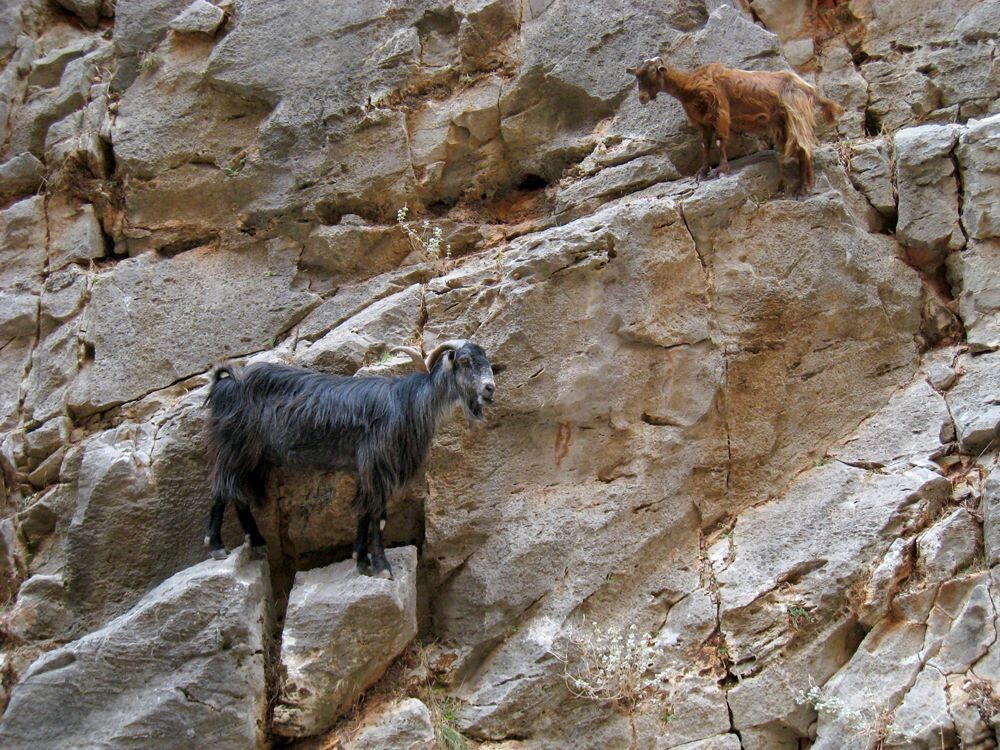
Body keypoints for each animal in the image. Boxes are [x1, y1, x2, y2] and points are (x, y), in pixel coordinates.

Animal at [204, 340, 502, 579]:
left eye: (487, 362)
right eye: (465, 361)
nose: (490, 389)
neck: (408, 404)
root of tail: (223, 382)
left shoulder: (366, 470)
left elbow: (365, 513)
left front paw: (361, 560)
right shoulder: (376, 463)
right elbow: (377, 515)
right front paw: (381, 567)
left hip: (252, 455)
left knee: (239, 491)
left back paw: (256, 541)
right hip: (234, 444)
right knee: (221, 487)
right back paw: (217, 545)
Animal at [626, 57, 843, 196]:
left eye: (653, 72)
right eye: (637, 75)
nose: (642, 98)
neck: (692, 85)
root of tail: (810, 89)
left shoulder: (720, 111)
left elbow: (720, 141)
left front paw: (722, 170)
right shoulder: (703, 122)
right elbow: (706, 145)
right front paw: (702, 172)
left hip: (797, 115)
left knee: (805, 147)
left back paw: (805, 189)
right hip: (784, 122)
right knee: (800, 149)